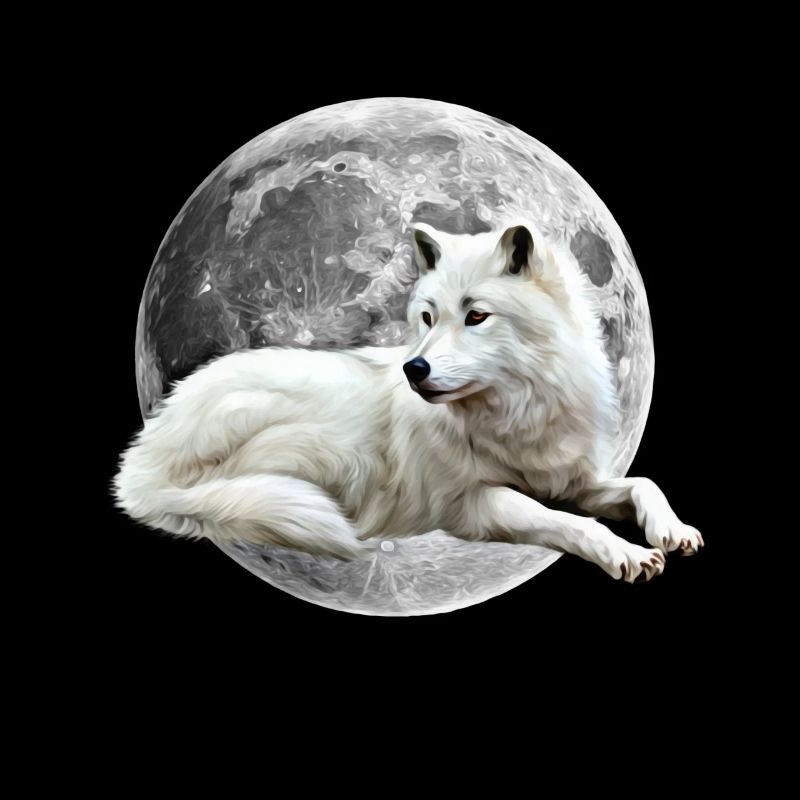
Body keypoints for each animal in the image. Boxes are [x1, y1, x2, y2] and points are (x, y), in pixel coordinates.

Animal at [113, 220, 703, 582]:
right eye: (427, 316)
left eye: (476, 315)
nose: (412, 369)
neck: (515, 410)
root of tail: (142, 455)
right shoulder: (471, 504)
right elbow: (568, 522)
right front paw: (626, 552)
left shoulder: (571, 480)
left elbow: (641, 483)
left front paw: (671, 530)